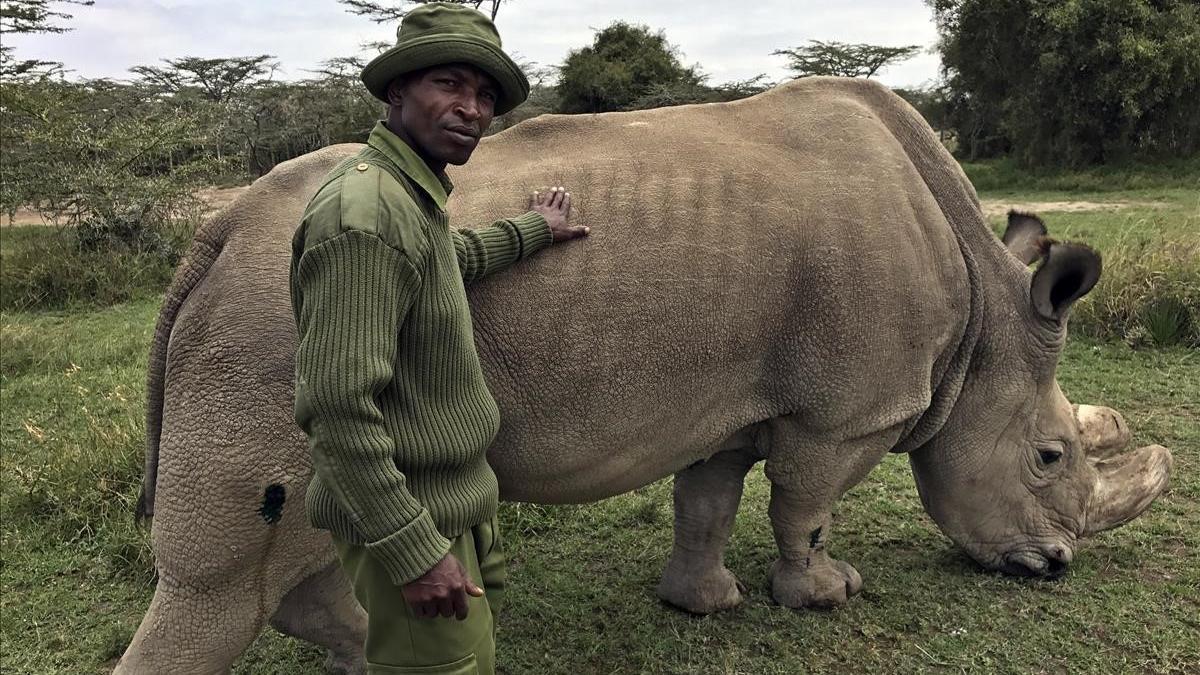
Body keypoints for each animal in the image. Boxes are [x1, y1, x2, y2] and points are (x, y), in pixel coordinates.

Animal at [119, 77, 1171, 667]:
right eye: (1048, 457)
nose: (1056, 566)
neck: (988, 319)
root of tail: (215, 232)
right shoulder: (846, 412)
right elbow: (806, 504)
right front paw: (827, 592)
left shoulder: (730, 397)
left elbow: (708, 499)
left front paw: (703, 603)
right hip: (272, 326)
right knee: (223, 576)